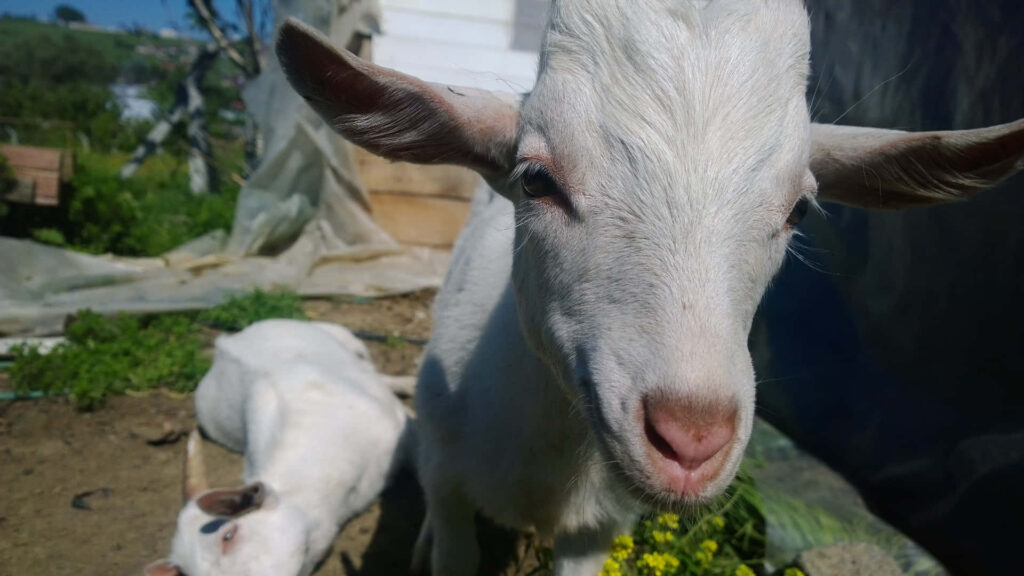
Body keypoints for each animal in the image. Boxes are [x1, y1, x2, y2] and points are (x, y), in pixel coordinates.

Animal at [275, 1, 1024, 574]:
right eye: (535, 179)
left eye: (799, 210)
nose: (690, 441)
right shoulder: (450, 478)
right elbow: (450, 535)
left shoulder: (597, 531)